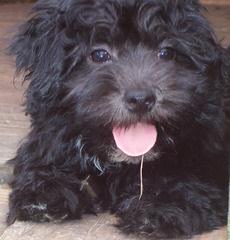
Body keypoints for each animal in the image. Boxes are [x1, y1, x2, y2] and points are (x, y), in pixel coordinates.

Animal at [7, 0, 230, 239]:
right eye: (99, 55)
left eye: (166, 52)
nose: (141, 99)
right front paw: (46, 191)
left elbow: (188, 179)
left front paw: (160, 207)